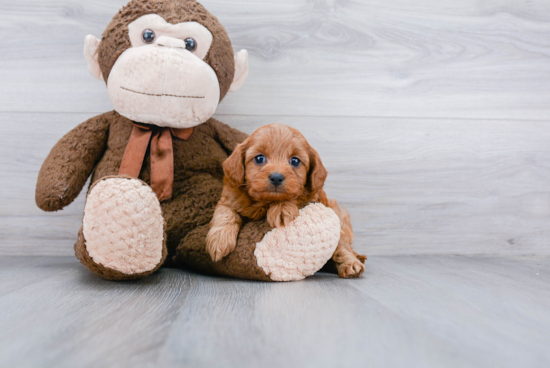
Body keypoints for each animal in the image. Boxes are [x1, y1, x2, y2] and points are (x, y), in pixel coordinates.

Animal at [206, 122, 366, 278]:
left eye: (295, 161)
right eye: (259, 158)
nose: (276, 177)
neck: (265, 202)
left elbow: (293, 197)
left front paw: (281, 208)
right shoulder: (229, 198)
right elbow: (225, 213)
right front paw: (219, 240)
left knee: (342, 247)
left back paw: (352, 264)